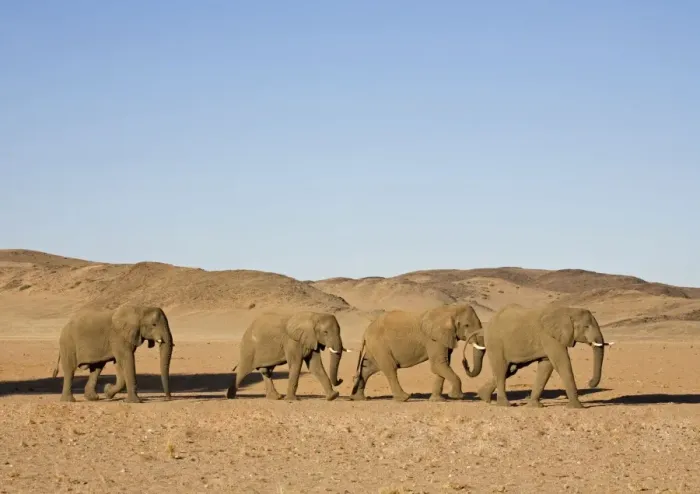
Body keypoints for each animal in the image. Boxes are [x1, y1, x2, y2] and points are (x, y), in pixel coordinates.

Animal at [349, 302, 486, 402]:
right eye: (467, 325)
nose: (465, 363)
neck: (449, 309)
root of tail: (366, 331)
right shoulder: (433, 339)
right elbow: (438, 364)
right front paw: (457, 397)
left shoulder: (445, 338)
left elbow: (443, 365)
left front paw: (438, 400)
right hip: (380, 346)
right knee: (390, 368)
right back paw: (404, 398)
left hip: (374, 347)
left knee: (367, 369)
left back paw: (359, 398)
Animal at [476, 303, 613, 409]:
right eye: (586, 326)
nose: (590, 382)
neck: (568, 311)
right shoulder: (549, 337)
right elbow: (562, 363)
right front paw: (577, 407)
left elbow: (546, 366)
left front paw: (534, 406)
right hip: (495, 343)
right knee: (501, 369)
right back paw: (504, 405)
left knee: (509, 370)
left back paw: (484, 397)